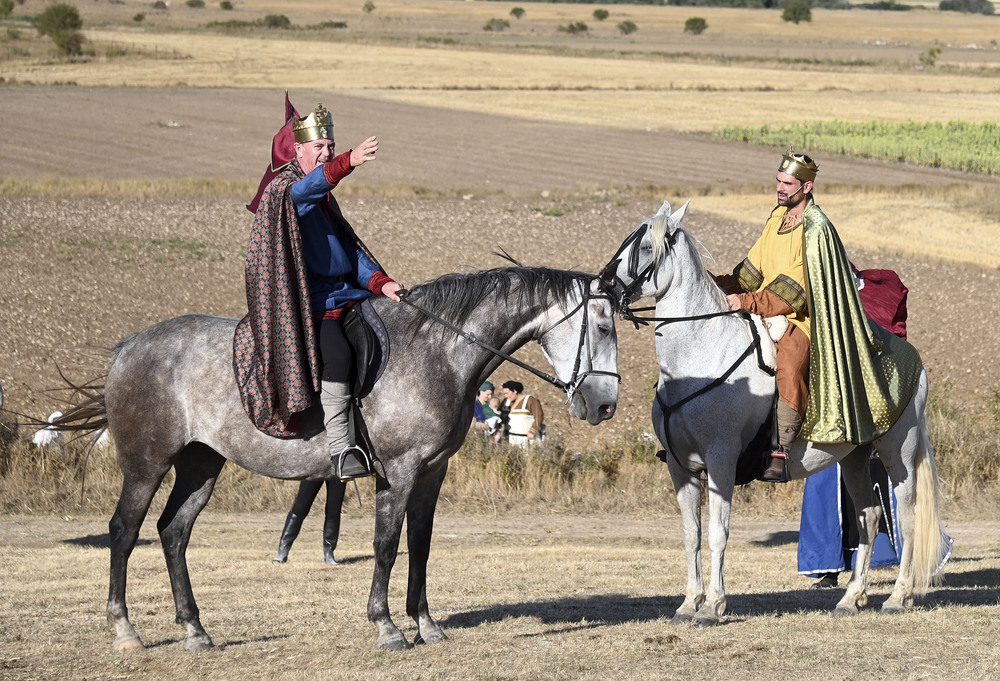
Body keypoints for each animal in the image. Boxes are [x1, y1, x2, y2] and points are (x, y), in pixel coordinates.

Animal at [62, 266, 616, 648]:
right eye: (604, 328)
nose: (605, 406)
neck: (438, 350)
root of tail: (129, 346)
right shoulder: (400, 471)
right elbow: (387, 546)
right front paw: (387, 626)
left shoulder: (432, 472)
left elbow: (420, 547)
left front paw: (426, 625)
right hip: (146, 465)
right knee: (124, 532)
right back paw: (125, 631)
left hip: (201, 464)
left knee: (173, 532)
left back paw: (196, 631)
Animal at [596, 202, 948, 628]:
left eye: (647, 247)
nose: (604, 283)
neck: (700, 354)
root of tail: (915, 360)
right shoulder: (680, 466)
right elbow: (691, 533)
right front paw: (689, 602)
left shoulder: (721, 460)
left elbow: (717, 532)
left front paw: (713, 606)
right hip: (854, 457)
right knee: (870, 515)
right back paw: (851, 597)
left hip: (900, 452)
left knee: (908, 515)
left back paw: (899, 596)